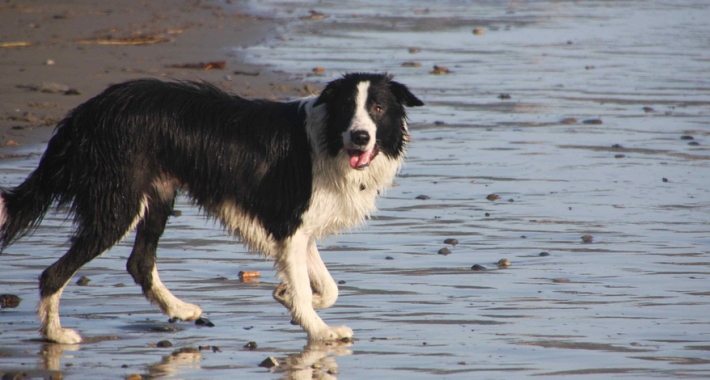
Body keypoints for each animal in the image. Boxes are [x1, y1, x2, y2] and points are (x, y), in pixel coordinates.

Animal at [0, 72, 422, 344]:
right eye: (348, 108)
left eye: (378, 108)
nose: (361, 136)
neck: (329, 141)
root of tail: (83, 114)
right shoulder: (289, 226)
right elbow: (308, 290)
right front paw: (319, 330)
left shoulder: (301, 231)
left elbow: (328, 287)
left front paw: (285, 296)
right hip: (118, 205)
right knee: (53, 273)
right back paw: (56, 336)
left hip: (157, 196)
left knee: (139, 262)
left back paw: (181, 309)